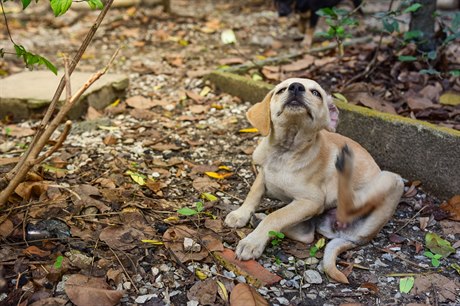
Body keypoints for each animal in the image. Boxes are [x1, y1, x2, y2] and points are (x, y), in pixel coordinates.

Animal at [226, 77, 402, 284]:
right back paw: (258, 218)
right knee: (306, 235)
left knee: (348, 202)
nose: (296, 87)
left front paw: (252, 242)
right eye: (281, 90)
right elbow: (254, 192)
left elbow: (275, 216)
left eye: (316, 93)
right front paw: (241, 214)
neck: (284, 152)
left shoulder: (311, 201)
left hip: (391, 179)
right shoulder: (264, 174)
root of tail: (355, 237)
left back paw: (344, 165)